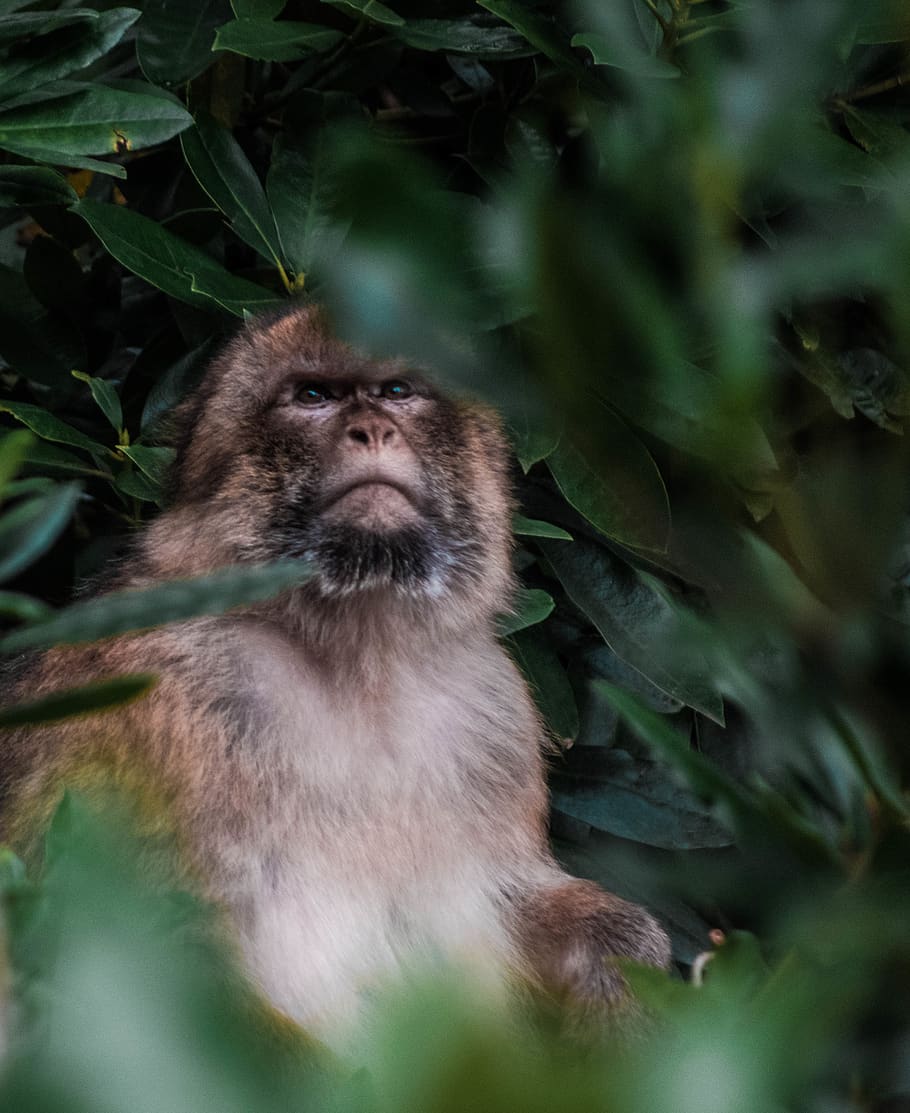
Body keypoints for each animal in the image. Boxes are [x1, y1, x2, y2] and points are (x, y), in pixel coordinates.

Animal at [0, 304, 670, 1045]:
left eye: (398, 391)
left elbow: (514, 897)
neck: (358, 659)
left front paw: (623, 967)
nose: (372, 429)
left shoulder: (492, 709)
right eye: (313, 395)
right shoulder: (144, 699)